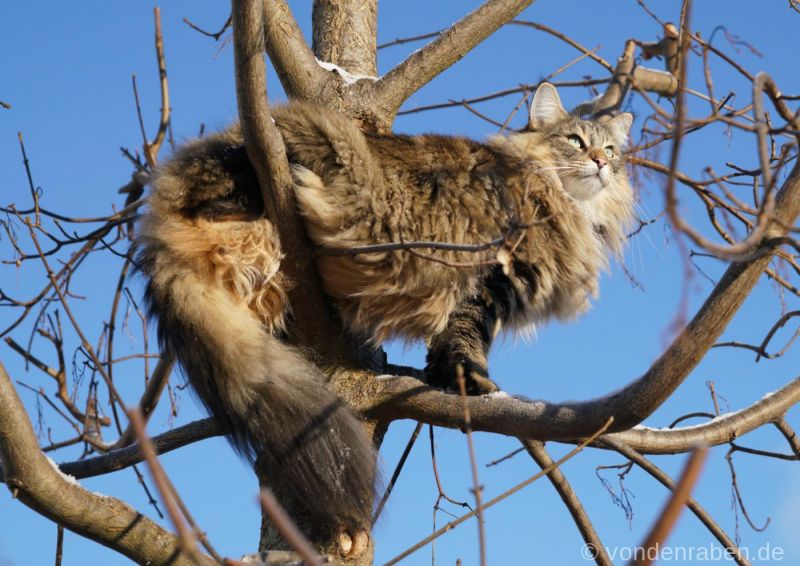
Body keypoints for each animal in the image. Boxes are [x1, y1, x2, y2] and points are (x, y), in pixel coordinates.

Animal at [139, 83, 636, 552]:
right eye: (574, 141)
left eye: (612, 150)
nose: (600, 162)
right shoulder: (487, 280)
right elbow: (466, 339)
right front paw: (474, 382)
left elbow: (445, 348)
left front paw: (445, 378)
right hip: (312, 136)